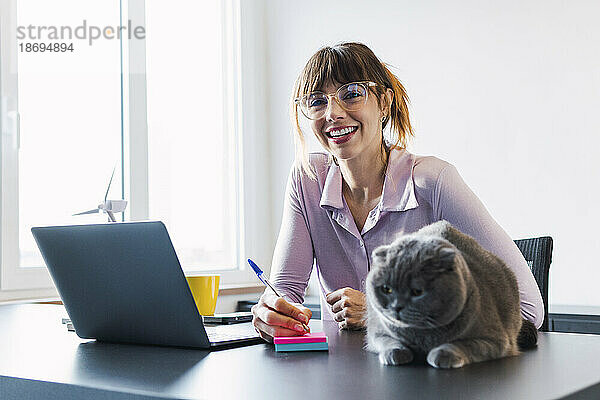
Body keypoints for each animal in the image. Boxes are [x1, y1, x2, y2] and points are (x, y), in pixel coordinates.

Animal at [364, 219, 536, 368]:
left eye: (417, 291)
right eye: (386, 289)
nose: (396, 307)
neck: (422, 335)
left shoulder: (496, 340)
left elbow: (463, 345)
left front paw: (442, 355)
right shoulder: (376, 332)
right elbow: (388, 341)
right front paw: (395, 353)